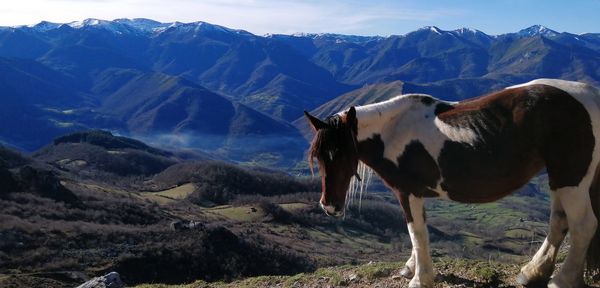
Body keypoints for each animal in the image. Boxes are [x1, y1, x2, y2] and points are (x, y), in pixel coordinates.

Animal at [304, 77, 600, 286]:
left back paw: (561, 280)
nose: (329, 206)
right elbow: (419, 231)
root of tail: (591, 95)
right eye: (318, 156)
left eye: (344, 154)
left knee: (583, 225)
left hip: (571, 178)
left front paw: (420, 279)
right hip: (560, 177)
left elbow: (416, 232)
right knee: (559, 222)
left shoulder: (407, 192)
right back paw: (532, 272)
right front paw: (411, 268)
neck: (394, 131)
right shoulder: (416, 194)